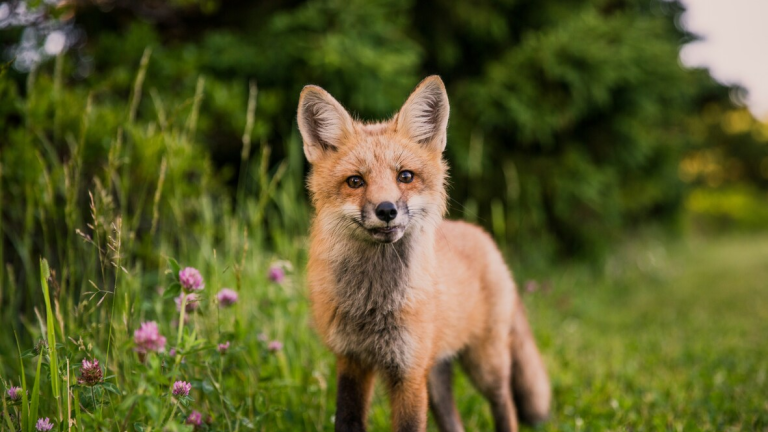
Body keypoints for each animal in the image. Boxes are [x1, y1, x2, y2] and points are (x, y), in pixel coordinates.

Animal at [296, 76, 548, 430]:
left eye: (405, 176)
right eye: (355, 181)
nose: (386, 210)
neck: (374, 304)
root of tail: (482, 236)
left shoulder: (409, 372)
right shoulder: (352, 361)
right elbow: (346, 421)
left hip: (485, 365)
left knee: (507, 407)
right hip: (437, 375)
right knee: (456, 424)